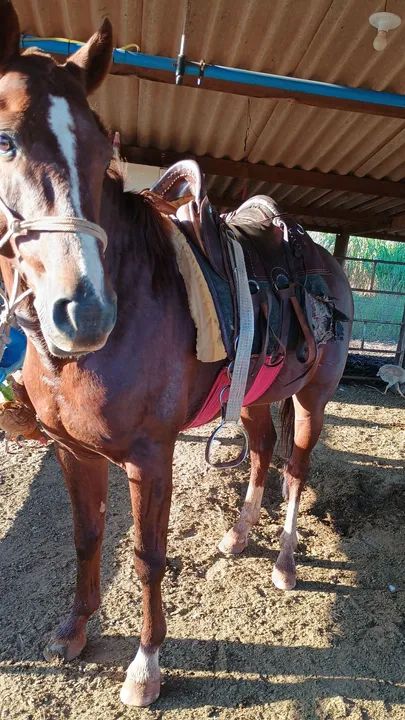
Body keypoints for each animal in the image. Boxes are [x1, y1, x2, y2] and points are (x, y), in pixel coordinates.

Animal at [0, 2, 353, 708]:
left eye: (103, 150)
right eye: (5, 141)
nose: (85, 314)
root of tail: (326, 261)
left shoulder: (148, 456)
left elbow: (145, 555)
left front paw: (146, 666)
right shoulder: (72, 450)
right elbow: (87, 538)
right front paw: (73, 632)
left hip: (312, 399)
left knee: (296, 470)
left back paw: (284, 562)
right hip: (257, 396)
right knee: (261, 453)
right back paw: (239, 535)